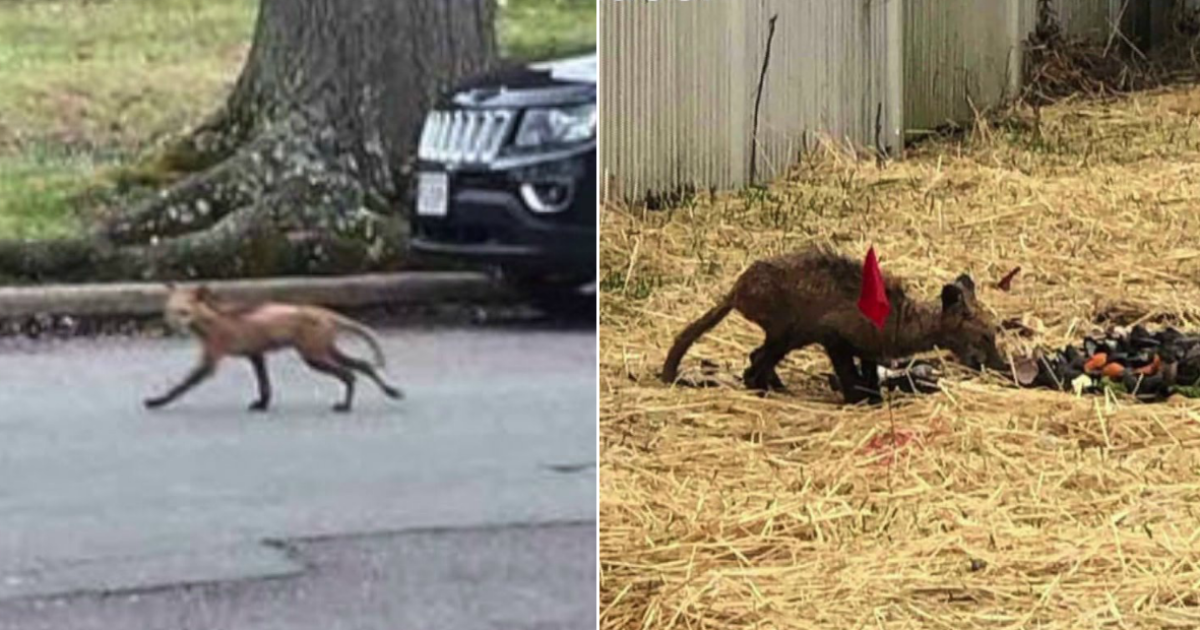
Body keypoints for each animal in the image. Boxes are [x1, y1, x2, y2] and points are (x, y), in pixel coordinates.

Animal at [144, 284, 404, 413]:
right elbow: (265, 386)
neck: (212, 323)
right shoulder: (255, 354)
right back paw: (390, 391)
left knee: (350, 374)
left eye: (184, 313)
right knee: (364, 365)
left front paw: (157, 401)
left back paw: (346, 406)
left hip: (313, 357)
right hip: (324, 351)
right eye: (170, 312)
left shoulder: (212, 359)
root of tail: (321, 311)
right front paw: (262, 405)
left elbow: (180, 386)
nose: (176, 329)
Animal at [661, 247, 1007, 403]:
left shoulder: (869, 349)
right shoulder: (834, 338)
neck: (900, 318)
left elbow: (869, 375)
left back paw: (775, 385)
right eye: (984, 336)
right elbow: (850, 376)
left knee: (755, 358)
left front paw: (873, 397)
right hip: (786, 332)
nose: (1001, 365)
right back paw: (766, 387)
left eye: (993, 334)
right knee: (756, 363)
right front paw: (858, 399)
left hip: (788, 336)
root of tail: (736, 290)